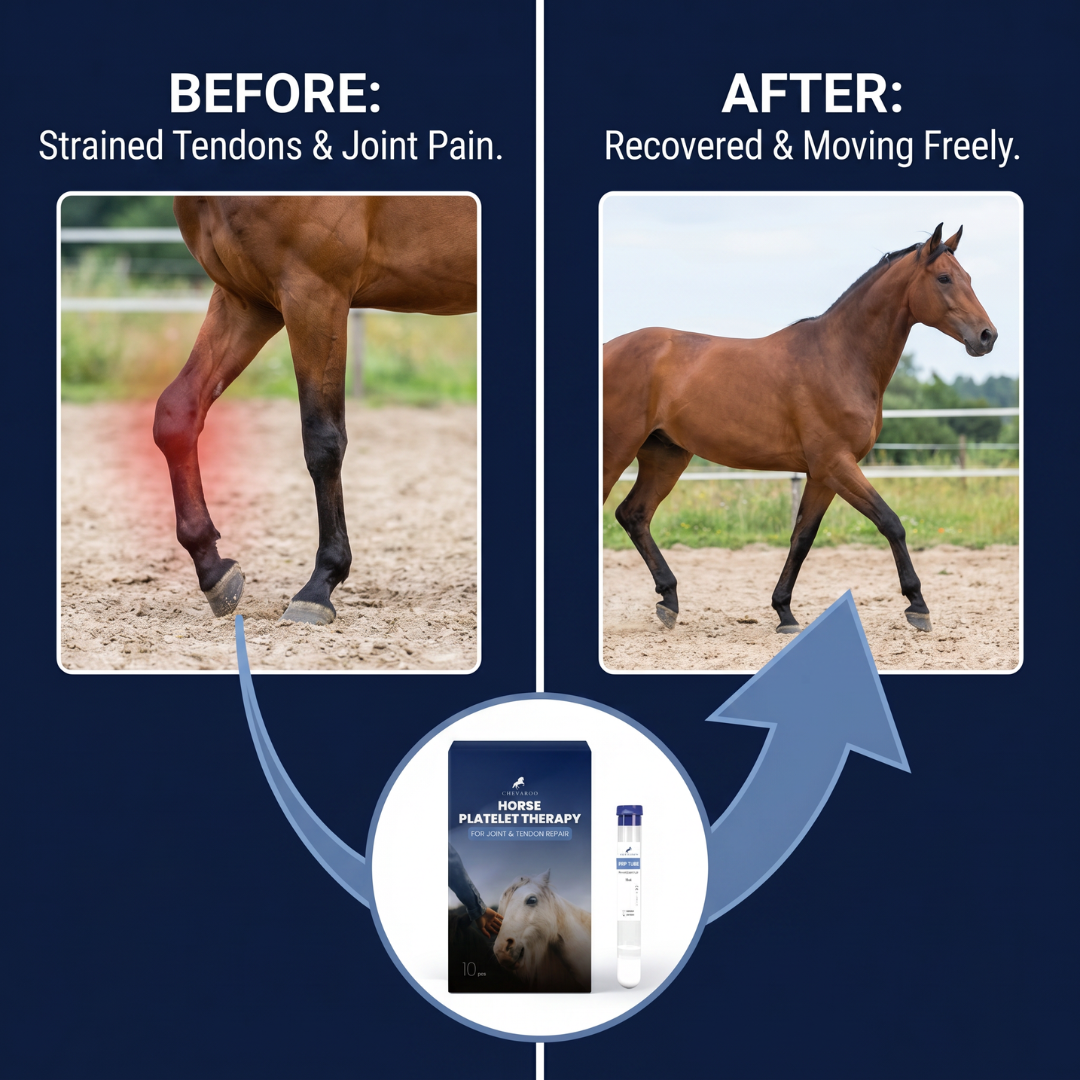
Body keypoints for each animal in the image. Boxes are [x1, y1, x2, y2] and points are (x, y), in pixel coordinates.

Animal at [153, 195, 476, 625]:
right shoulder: (247, 302)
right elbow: (176, 413)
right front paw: (213, 567)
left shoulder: (314, 294)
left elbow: (322, 440)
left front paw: (320, 585)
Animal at [603, 223, 997, 635]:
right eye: (944, 278)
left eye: (969, 277)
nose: (987, 336)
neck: (840, 357)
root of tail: (609, 348)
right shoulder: (836, 464)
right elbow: (891, 522)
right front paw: (917, 605)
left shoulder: (822, 474)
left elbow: (802, 537)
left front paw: (785, 612)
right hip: (616, 452)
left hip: (666, 455)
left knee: (634, 514)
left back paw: (669, 600)